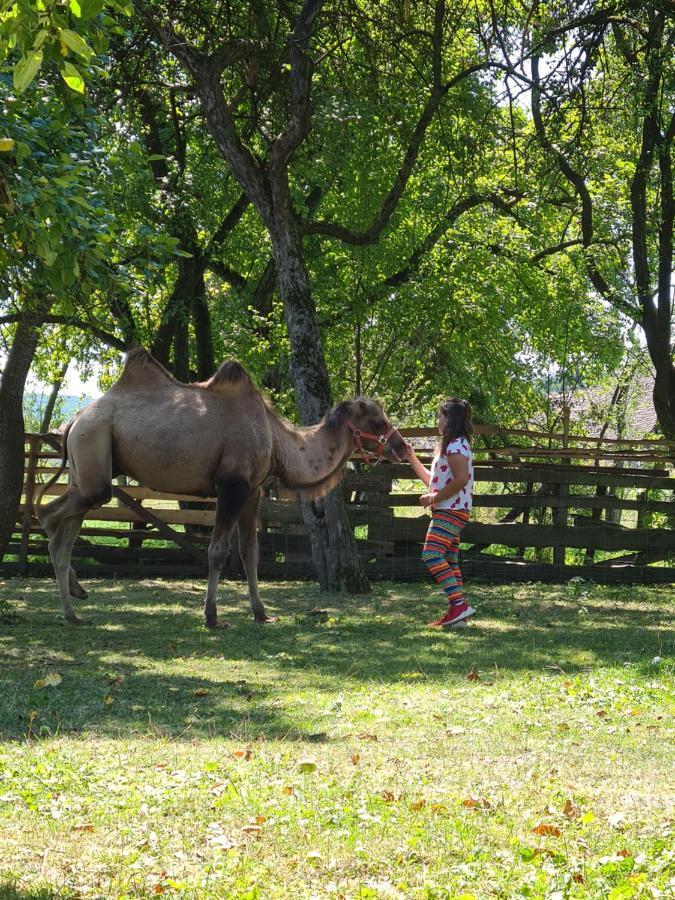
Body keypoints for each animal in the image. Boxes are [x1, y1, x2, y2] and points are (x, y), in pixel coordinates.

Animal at [35, 350, 406, 624]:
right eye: (378, 421)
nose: (402, 447)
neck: (276, 439)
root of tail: (73, 420)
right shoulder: (232, 485)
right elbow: (217, 551)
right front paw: (212, 616)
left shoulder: (254, 490)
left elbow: (250, 552)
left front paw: (261, 613)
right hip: (94, 452)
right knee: (53, 516)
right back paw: (70, 607)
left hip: (89, 469)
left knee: (66, 523)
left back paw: (75, 602)